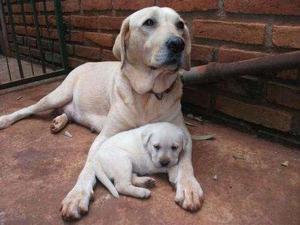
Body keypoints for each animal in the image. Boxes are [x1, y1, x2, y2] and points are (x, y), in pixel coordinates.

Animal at [0, 6, 204, 219]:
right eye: (149, 22)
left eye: (179, 25)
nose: (178, 44)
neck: (148, 94)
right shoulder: (105, 136)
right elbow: (89, 165)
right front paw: (77, 194)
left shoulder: (182, 133)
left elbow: (186, 163)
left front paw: (188, 187)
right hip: (57, 95)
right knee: (29, 109)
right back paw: (6, 119)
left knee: (67, 112)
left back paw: (58, 121)